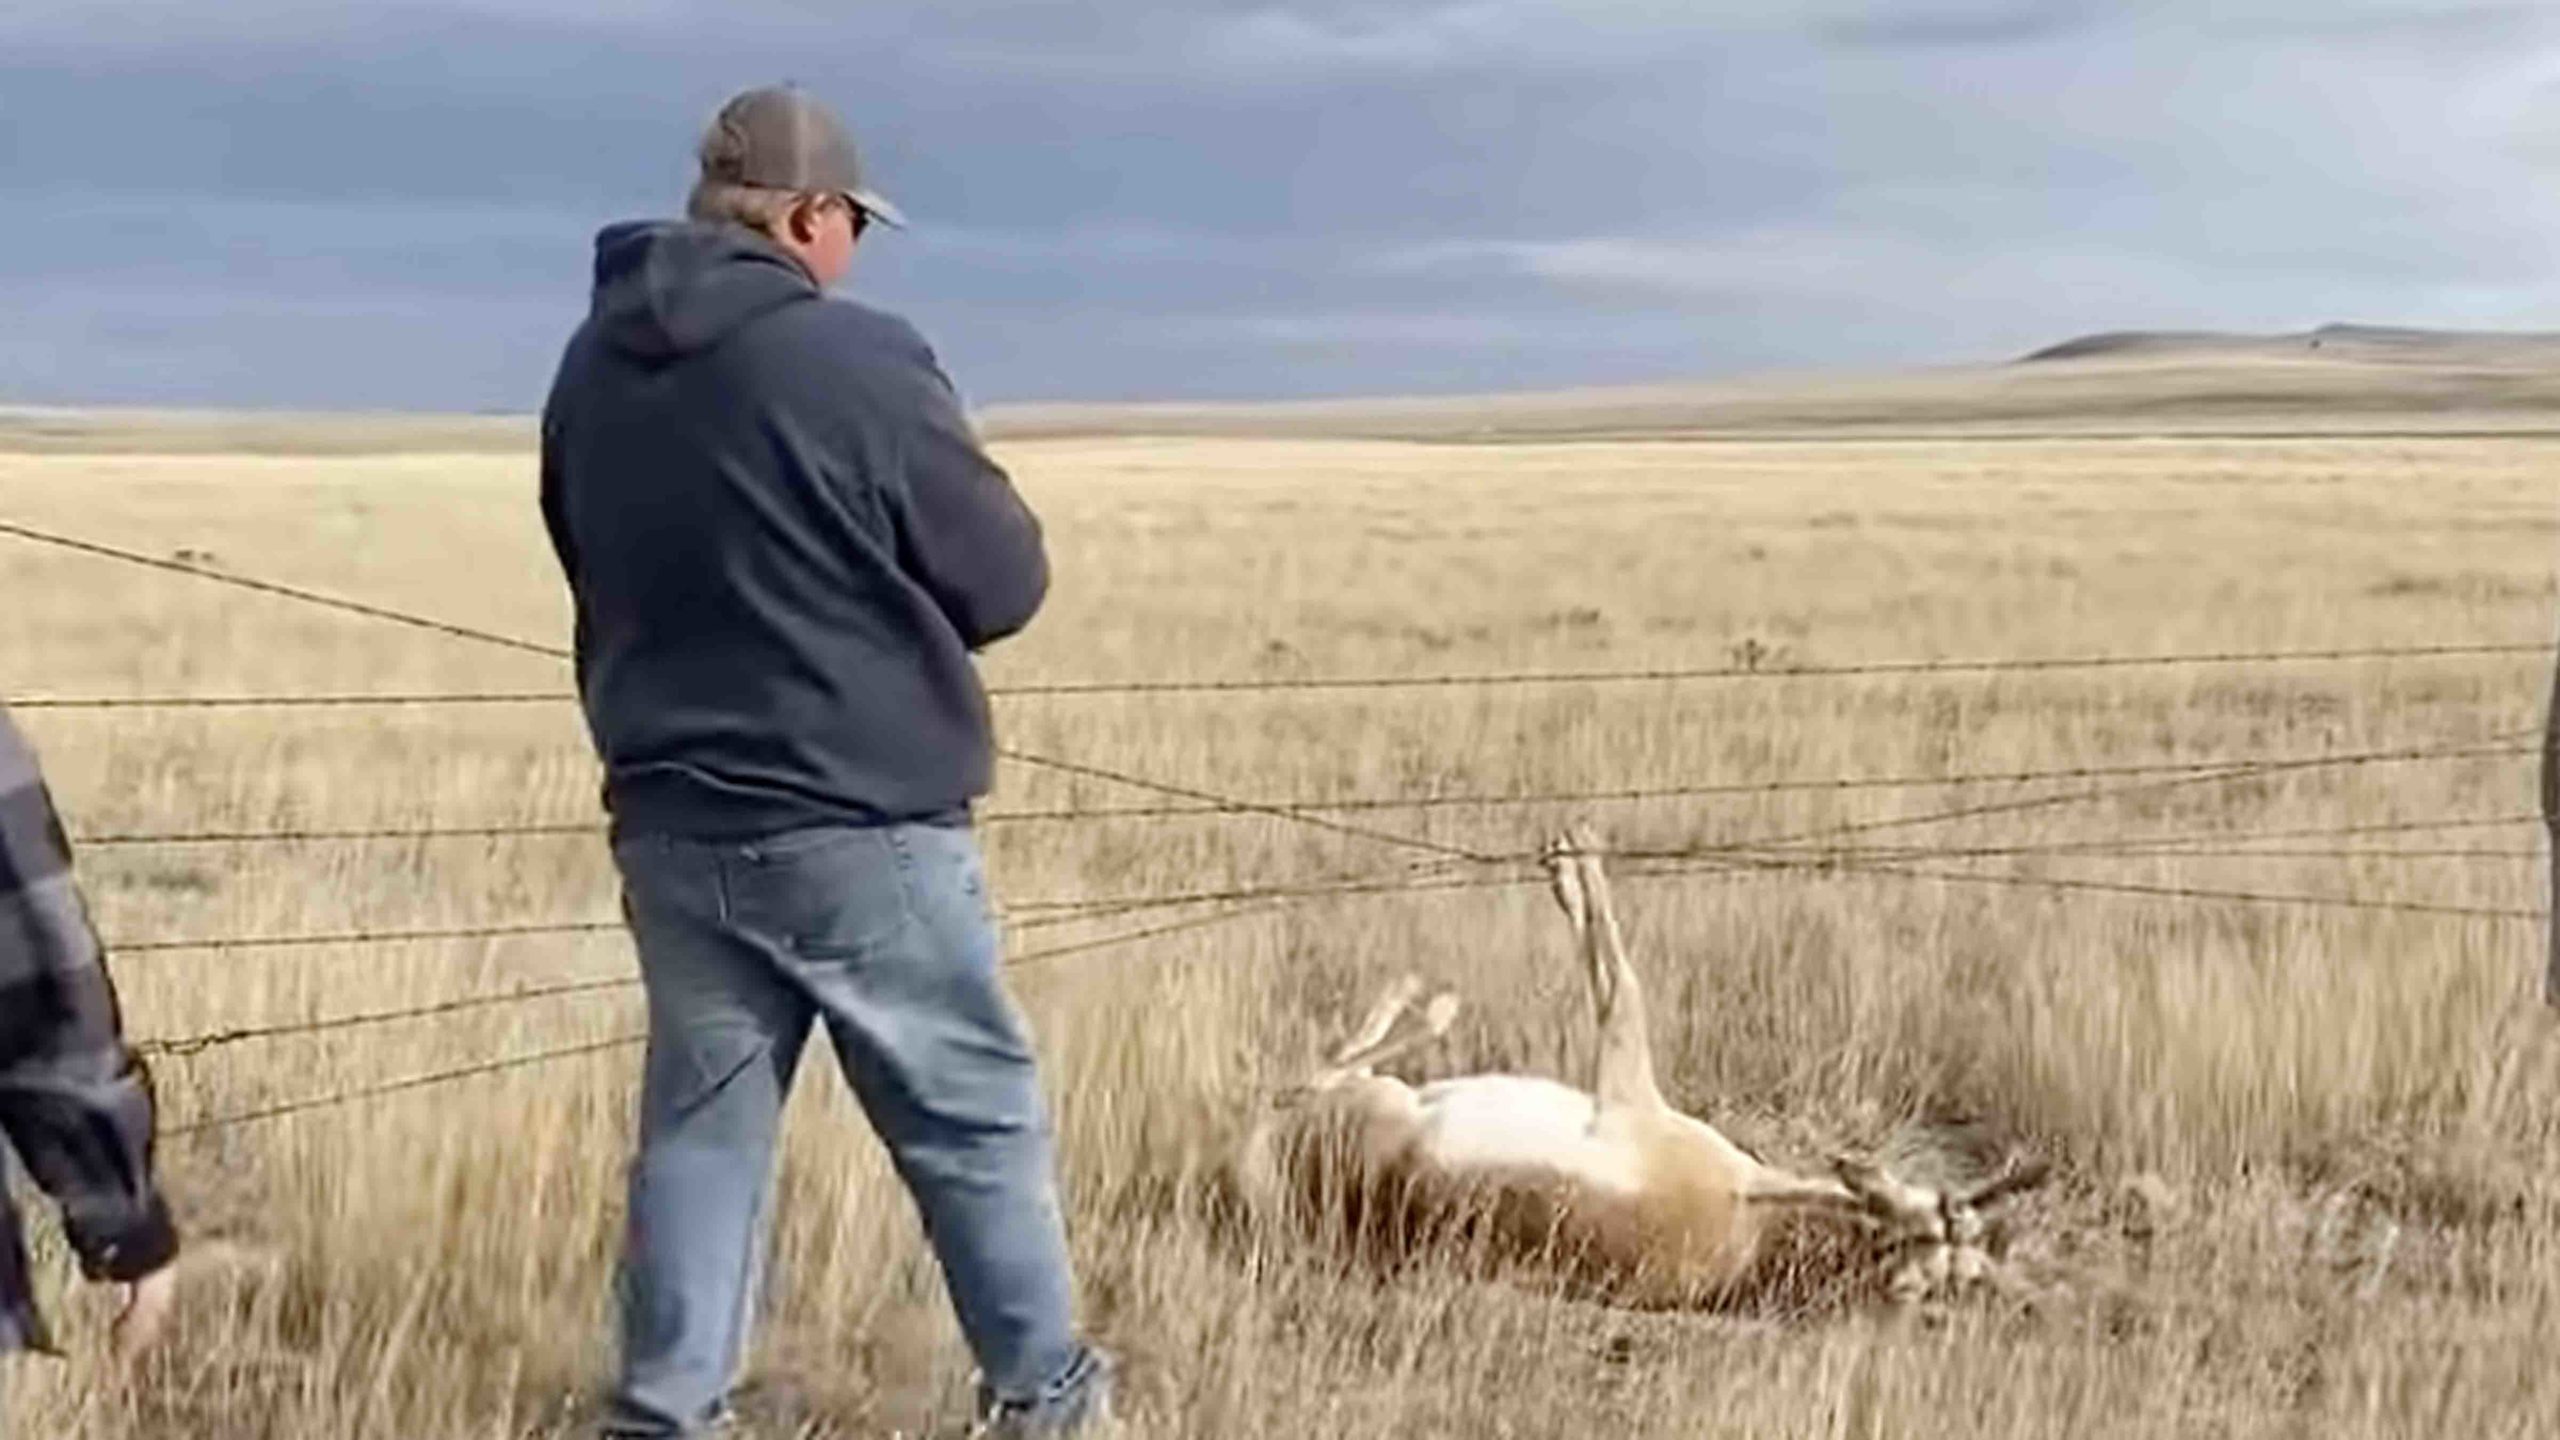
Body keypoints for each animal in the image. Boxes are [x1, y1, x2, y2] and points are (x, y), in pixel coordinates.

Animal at [1238, 825, 2045, 1308]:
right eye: (1969, 1231)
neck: (1753, 1211)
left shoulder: (1627, 1088)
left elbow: (1617, 975)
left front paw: (1573, 866)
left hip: (1376, 1103)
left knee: (1303, 1080)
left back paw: (1427, 1001)